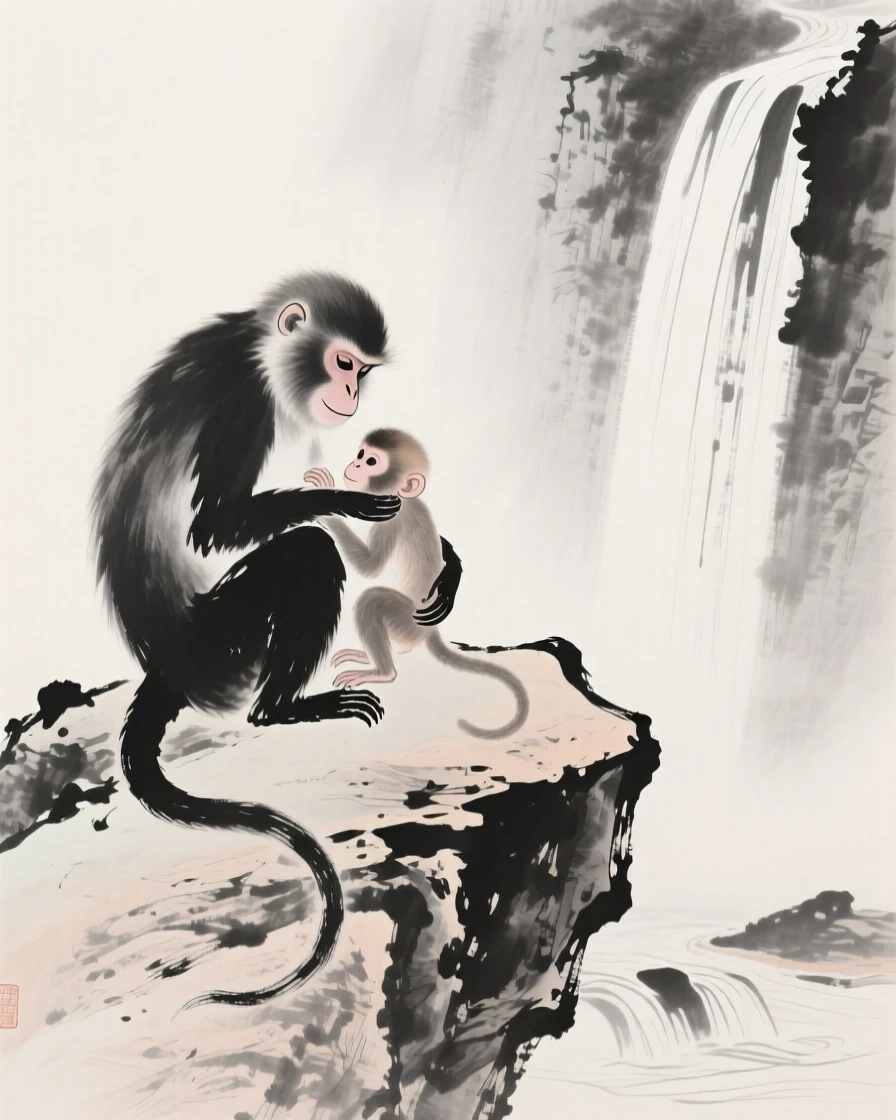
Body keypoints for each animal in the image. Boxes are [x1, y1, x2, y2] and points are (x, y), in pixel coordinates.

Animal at [90, 273, 463, 1011]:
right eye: (345, 364)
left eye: (362, 373)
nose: (351, 395)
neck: (252, 346)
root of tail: (168, 662)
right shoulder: (244, 403)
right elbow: (216, 527)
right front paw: (348, 501)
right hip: (224, 634)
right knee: (307, 553)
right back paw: (283, 707)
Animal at [304, 428, 529, 740]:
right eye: (361, 454)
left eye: (371, 461)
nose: (356, 464)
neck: (403, 499)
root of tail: (430, 630)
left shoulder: (390, 519)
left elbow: (370, 568)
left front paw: (327, 499)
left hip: (406, 622)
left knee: (373, 601)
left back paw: (383, 672)